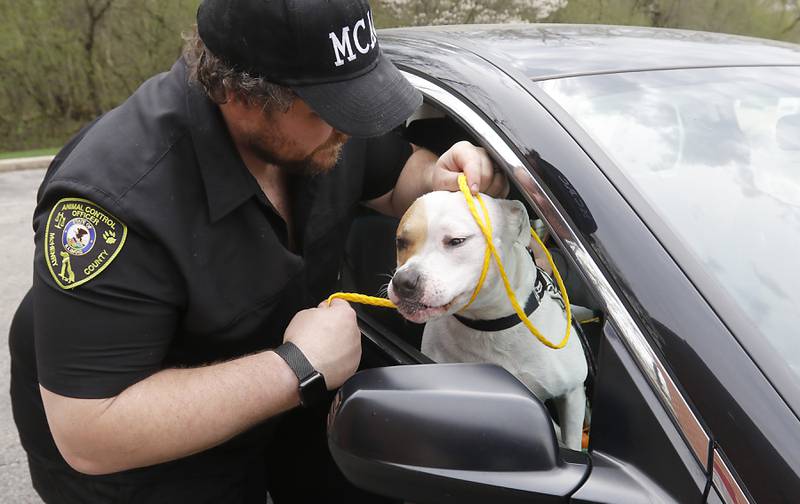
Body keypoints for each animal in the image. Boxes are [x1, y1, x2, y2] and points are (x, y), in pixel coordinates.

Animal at [388, 190, 588, 448]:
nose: (403, 282)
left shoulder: (574, 392)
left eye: (457, 241)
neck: (487, 324)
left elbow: (573, 441)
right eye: (400, 241)